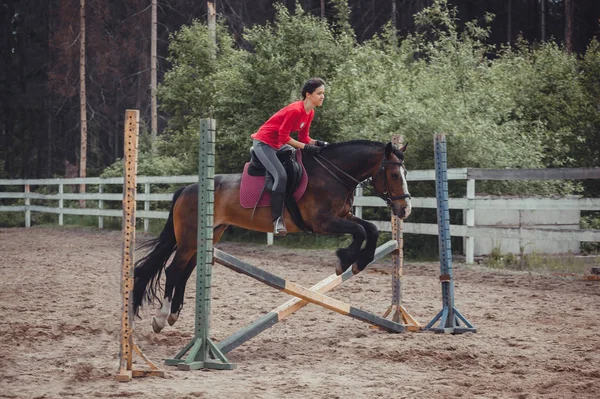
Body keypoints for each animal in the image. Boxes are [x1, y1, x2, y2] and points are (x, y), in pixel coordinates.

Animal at [133, 139, 410, 332]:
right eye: (394, 174)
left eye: (405, 174)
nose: (404, 209)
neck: (333, 174)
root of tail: (188, 188)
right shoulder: (323, 222)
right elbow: (361, 231)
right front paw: (345, 259)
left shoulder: (342, 216)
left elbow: (370, 229)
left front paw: (359, 261)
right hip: (190, 240)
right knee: (173, 270)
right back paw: (161, 318)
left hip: (207, 237)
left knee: (187, 271)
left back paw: (173, 314)